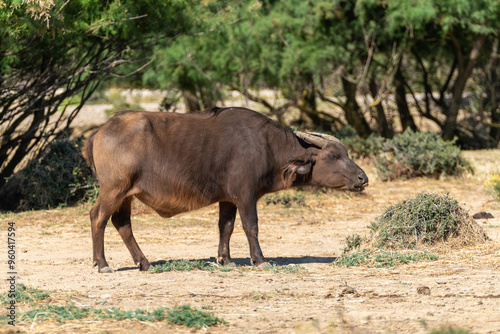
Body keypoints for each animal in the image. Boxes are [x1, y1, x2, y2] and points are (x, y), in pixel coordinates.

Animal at [84, 107, 368, 272]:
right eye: (333, 156)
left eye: (345, 153)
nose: (362, 178)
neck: (267, 146)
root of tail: (100, 131)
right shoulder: (245, 196)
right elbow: (251, 227)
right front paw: (259, 259)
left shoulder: (228, 200)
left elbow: (226, 227)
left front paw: (226, 259)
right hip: (114, 190)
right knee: (98, 217)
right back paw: (103, 264)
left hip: (125, 195)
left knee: (122, 223)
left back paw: (143, 262)